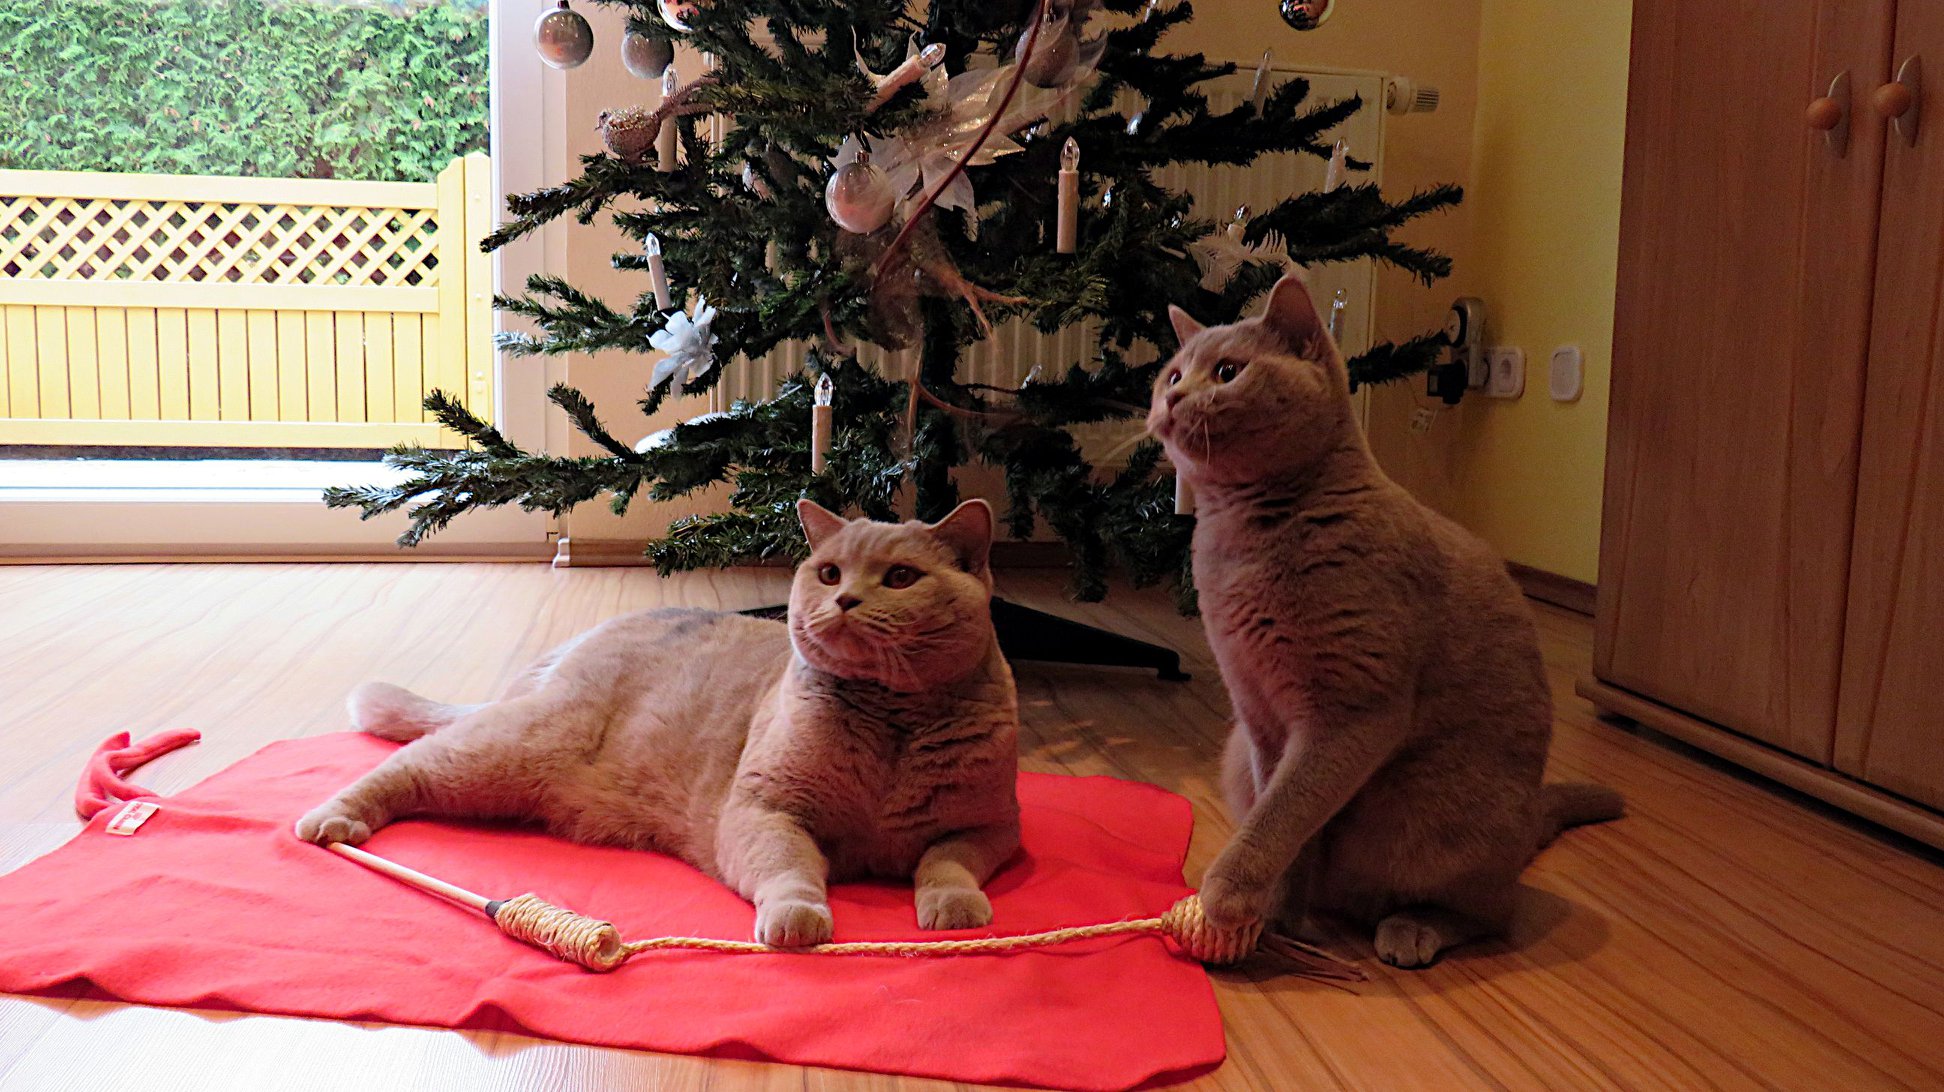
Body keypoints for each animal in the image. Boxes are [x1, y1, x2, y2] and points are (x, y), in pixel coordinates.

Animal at [291, 501, 1018, 944]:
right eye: (829, 571)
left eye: (900, 577)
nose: (844, 599)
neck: (891, 725)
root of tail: (577, 642)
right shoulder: (761, 813)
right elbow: (789, 870)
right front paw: (799, 919)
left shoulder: (993, 827)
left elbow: (947, 860)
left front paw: (953, 909)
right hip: (514, 746)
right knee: (401, 763)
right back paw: (330, 821)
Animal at [1143, 275, 1617, 963]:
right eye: (1173, 374)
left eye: (1227, 371)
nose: (1174, 396)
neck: (1239, 540)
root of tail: (1531, 810)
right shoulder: (1258, 716)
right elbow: (1286, 814)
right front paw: (1276, 910)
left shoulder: (1350, 713)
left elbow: (1283, 811)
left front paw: (1229, 895)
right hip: (1237, 757)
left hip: (1431, 810)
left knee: (1490, 911)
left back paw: (1413, 928)